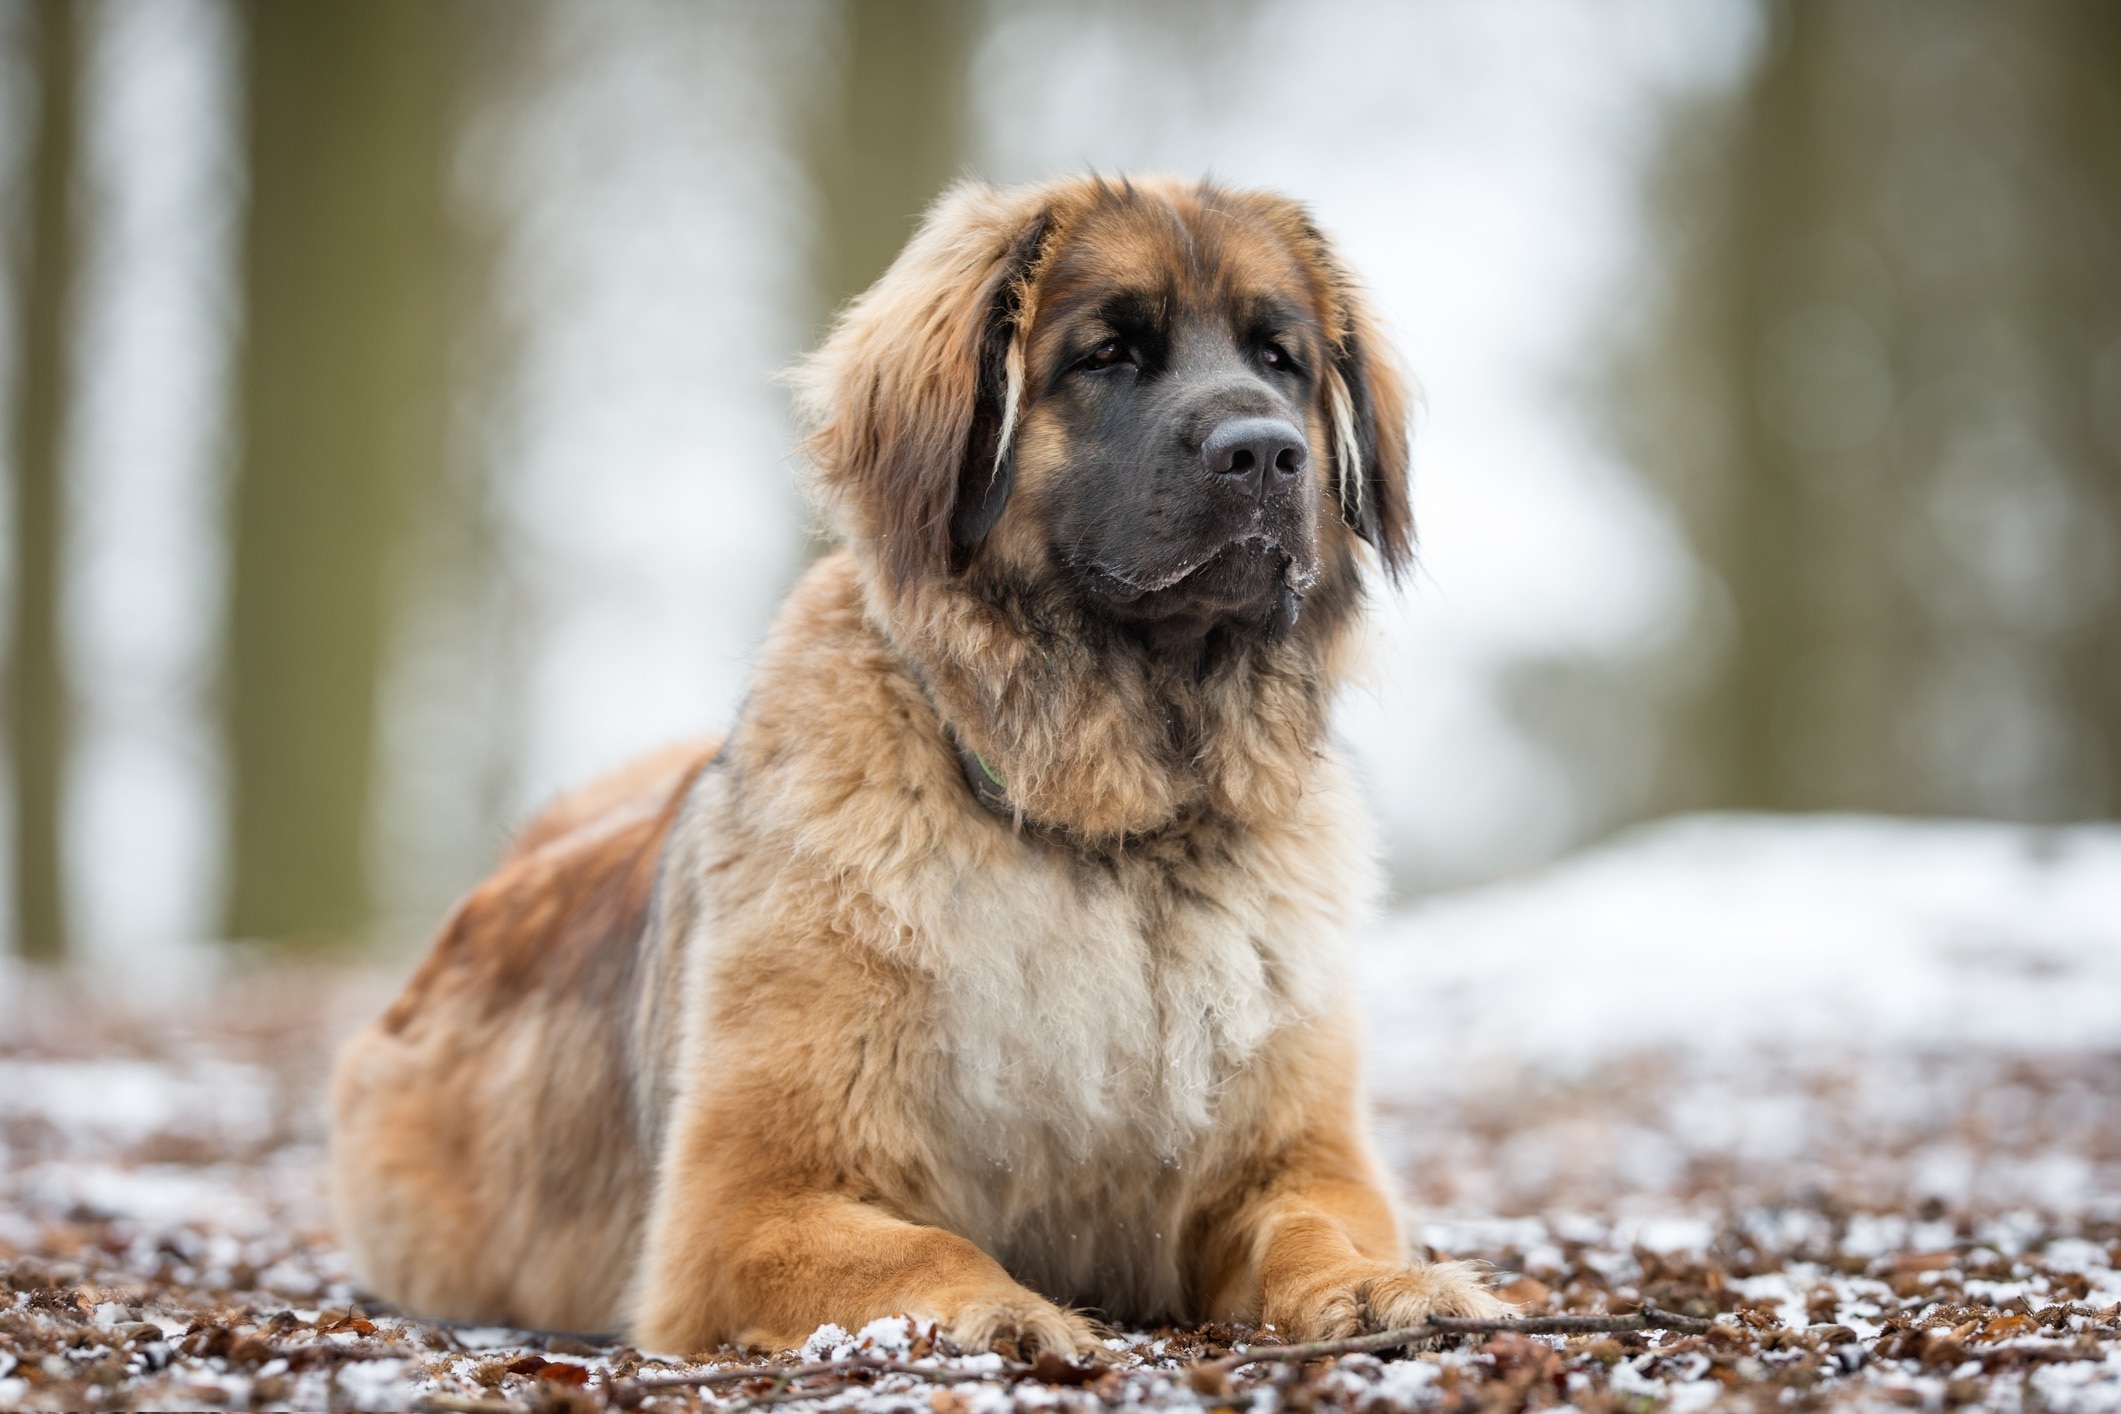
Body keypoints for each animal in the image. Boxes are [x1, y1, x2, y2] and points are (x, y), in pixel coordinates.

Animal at [326, 177, 1510, 1356]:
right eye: (1106, 354)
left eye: (1279, 360)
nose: (1265, 452)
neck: (1108, 835)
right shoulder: (754, 1198)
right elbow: (924, 1248)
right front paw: (1010, 1312)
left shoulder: (1295, 1155)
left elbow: (1313, 1224)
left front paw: (1384, 1283)